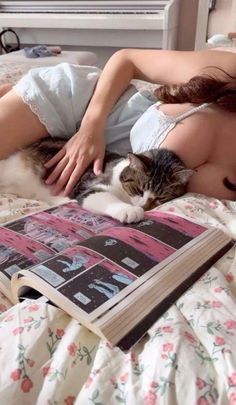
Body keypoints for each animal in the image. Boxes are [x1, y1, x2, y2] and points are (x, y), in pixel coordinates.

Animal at [0, 137, 194, 223]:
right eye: (138, 189)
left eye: (161, 198)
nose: (143, 207)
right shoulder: (88, 187)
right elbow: (104, 197)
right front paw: (130, 210)